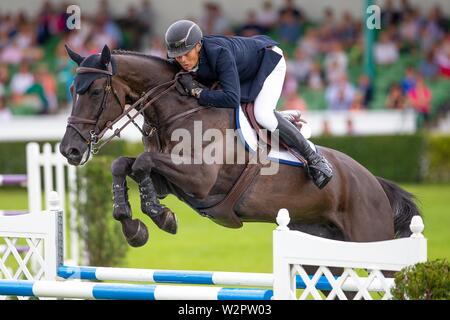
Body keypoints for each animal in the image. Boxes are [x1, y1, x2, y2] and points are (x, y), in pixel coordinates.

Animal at [59, 44, 422, 252]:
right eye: (72, 90)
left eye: (94, 91)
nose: (69, 150)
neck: (180, 109)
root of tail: (375, 184)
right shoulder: (174, 181)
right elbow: (125, 164)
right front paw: (134, 224)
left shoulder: (200, 180)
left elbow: (143, 162)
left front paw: (159, 217)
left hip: (367, 235)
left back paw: (321, 168)